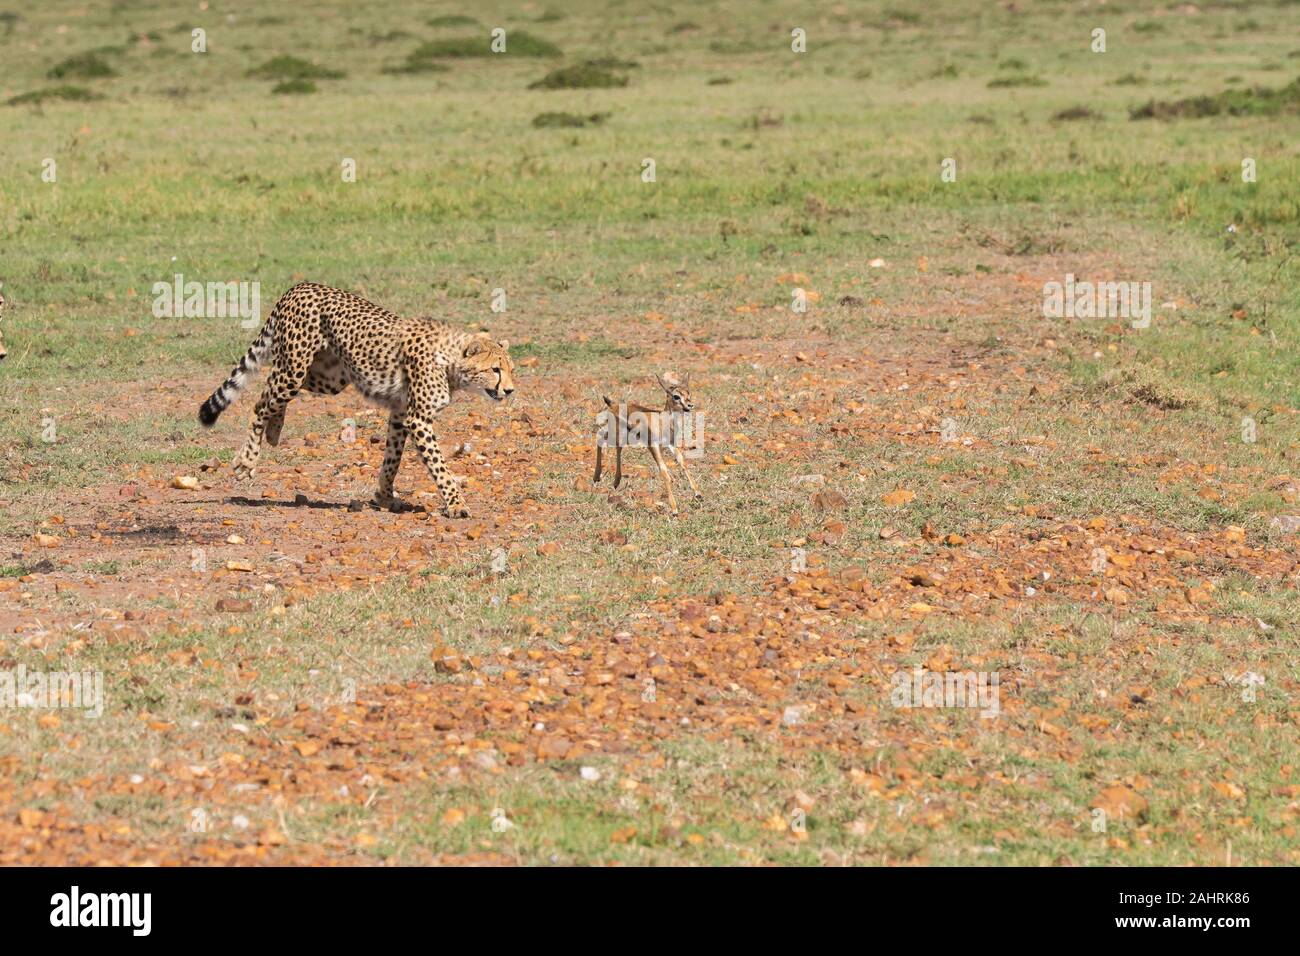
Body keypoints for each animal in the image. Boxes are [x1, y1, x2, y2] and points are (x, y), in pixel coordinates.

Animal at [197, 280, 512, 520]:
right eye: (495, 370)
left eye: (511, 369)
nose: (509, 391)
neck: (451, 360)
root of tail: (299, 286)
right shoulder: (418, 419)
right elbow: (440, 467)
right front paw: (457, 504)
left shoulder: (400, 413)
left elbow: (392, 458)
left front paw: (385, 496)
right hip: (296, 368)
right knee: (260, 403)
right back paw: (247, 460)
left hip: (327, 377)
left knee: (270, 390)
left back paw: (274, 430)